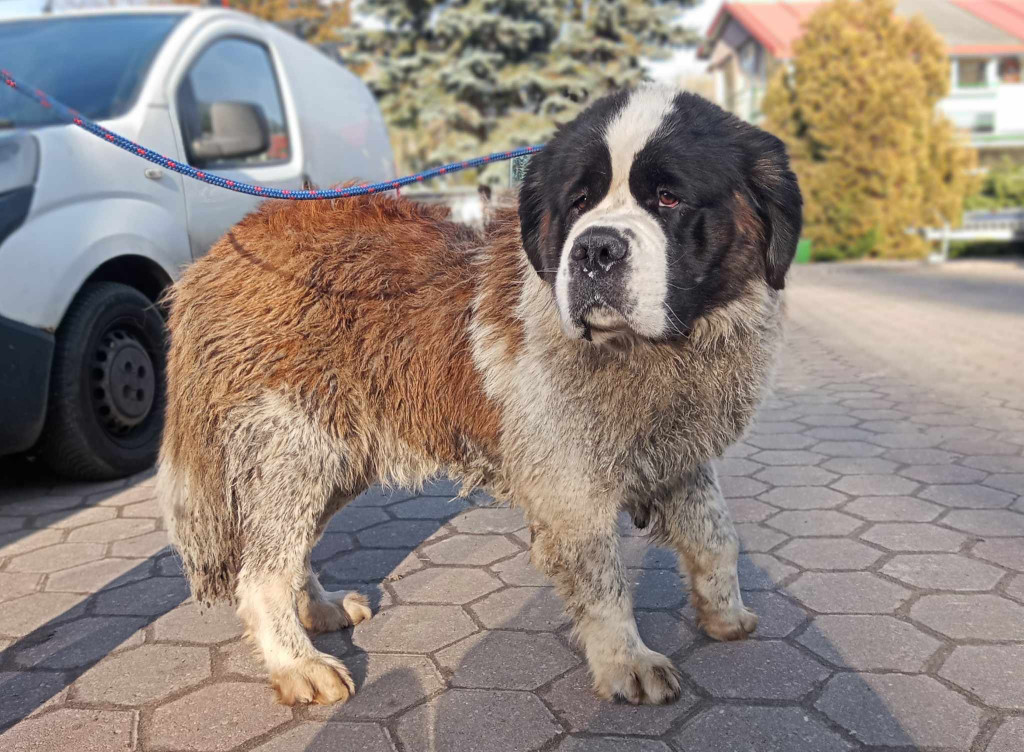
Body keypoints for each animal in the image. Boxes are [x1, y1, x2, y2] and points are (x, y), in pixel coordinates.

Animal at [157, 85, 798, 708]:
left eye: (668, 198)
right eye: (578, 202)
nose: (595, 250)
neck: (653, 350)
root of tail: (220, 252)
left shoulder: (678, 450)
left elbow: (717, 535)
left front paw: (725, 613)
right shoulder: (571, 484)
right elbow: (602, 578)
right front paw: (626, 662)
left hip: (334, 458)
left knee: (288, 551)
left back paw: (319, 610)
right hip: (294, 450)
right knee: (262, 573)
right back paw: (298, 664)